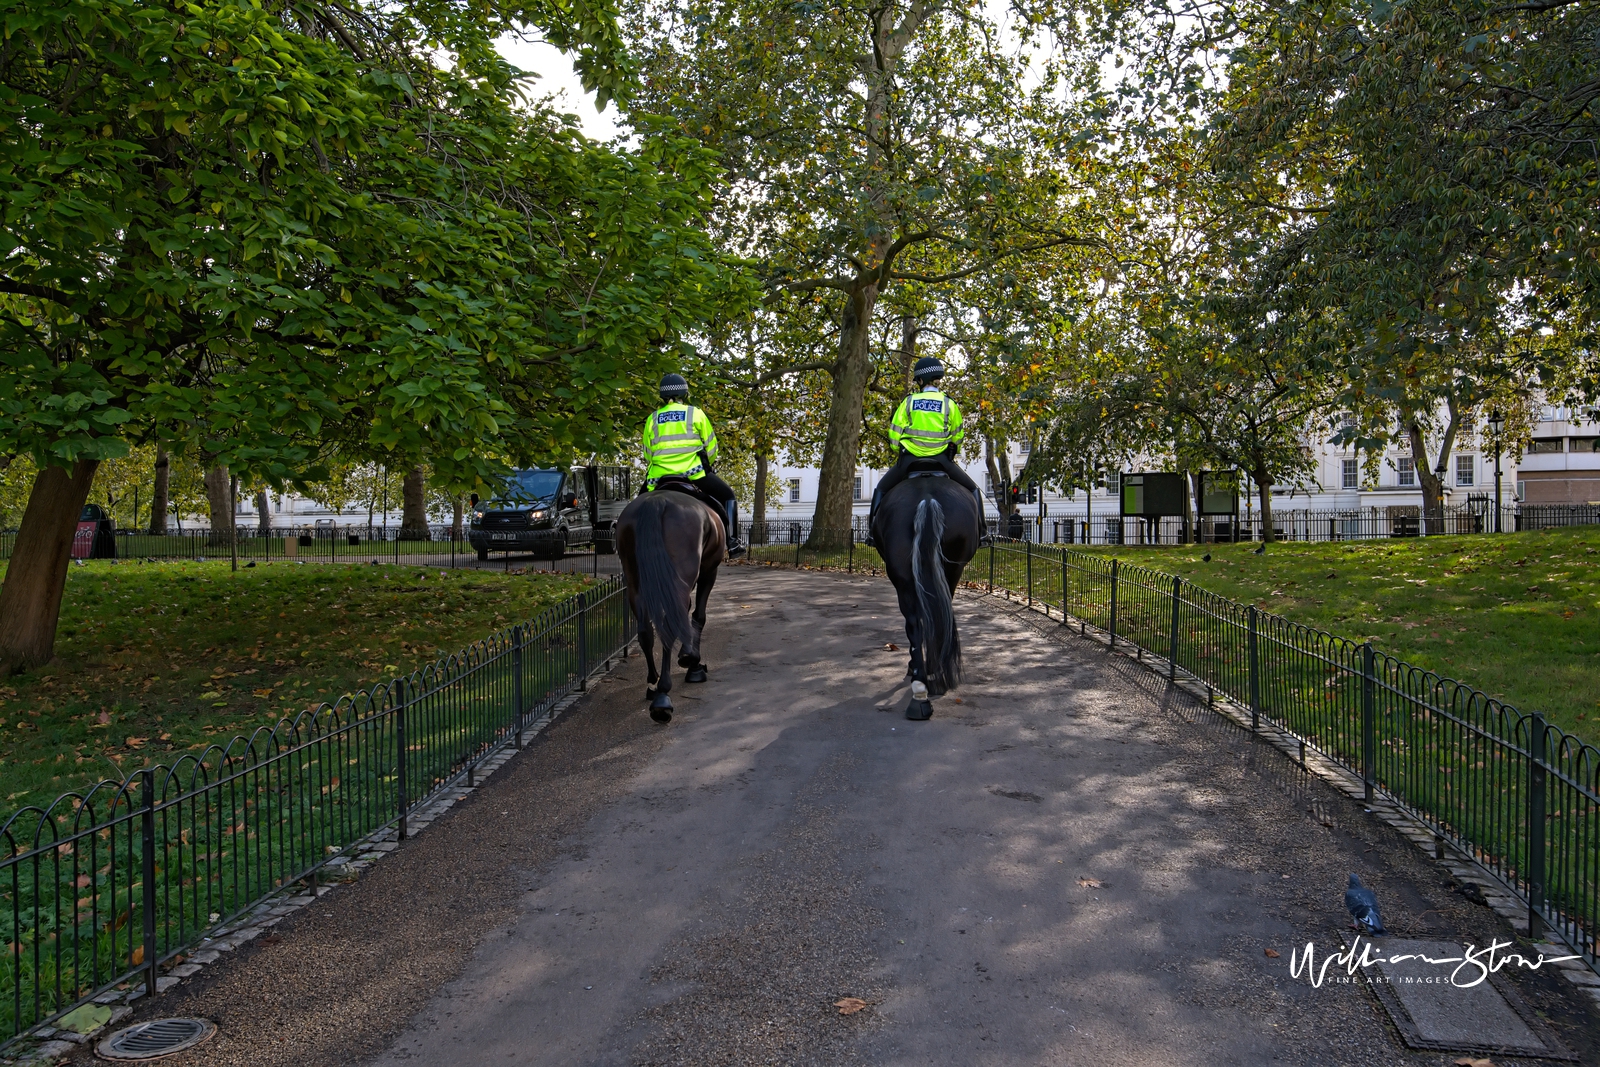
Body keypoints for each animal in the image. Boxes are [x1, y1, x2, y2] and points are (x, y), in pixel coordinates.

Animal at [611, 486, 726, 723]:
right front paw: (692, 661)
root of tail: (657, 501)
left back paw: (653, 682)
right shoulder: (709, 571)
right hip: (682, 576)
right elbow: (698, 615)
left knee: (646, 631)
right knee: (670, 626)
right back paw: (663, 696)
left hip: (636, 583)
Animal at [870, 467, 979, 716]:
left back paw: (922, 684)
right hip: (950, 569)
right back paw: (927, 683)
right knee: (928, 619)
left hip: (906, 576)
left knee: (916, 622)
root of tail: (927, 498)